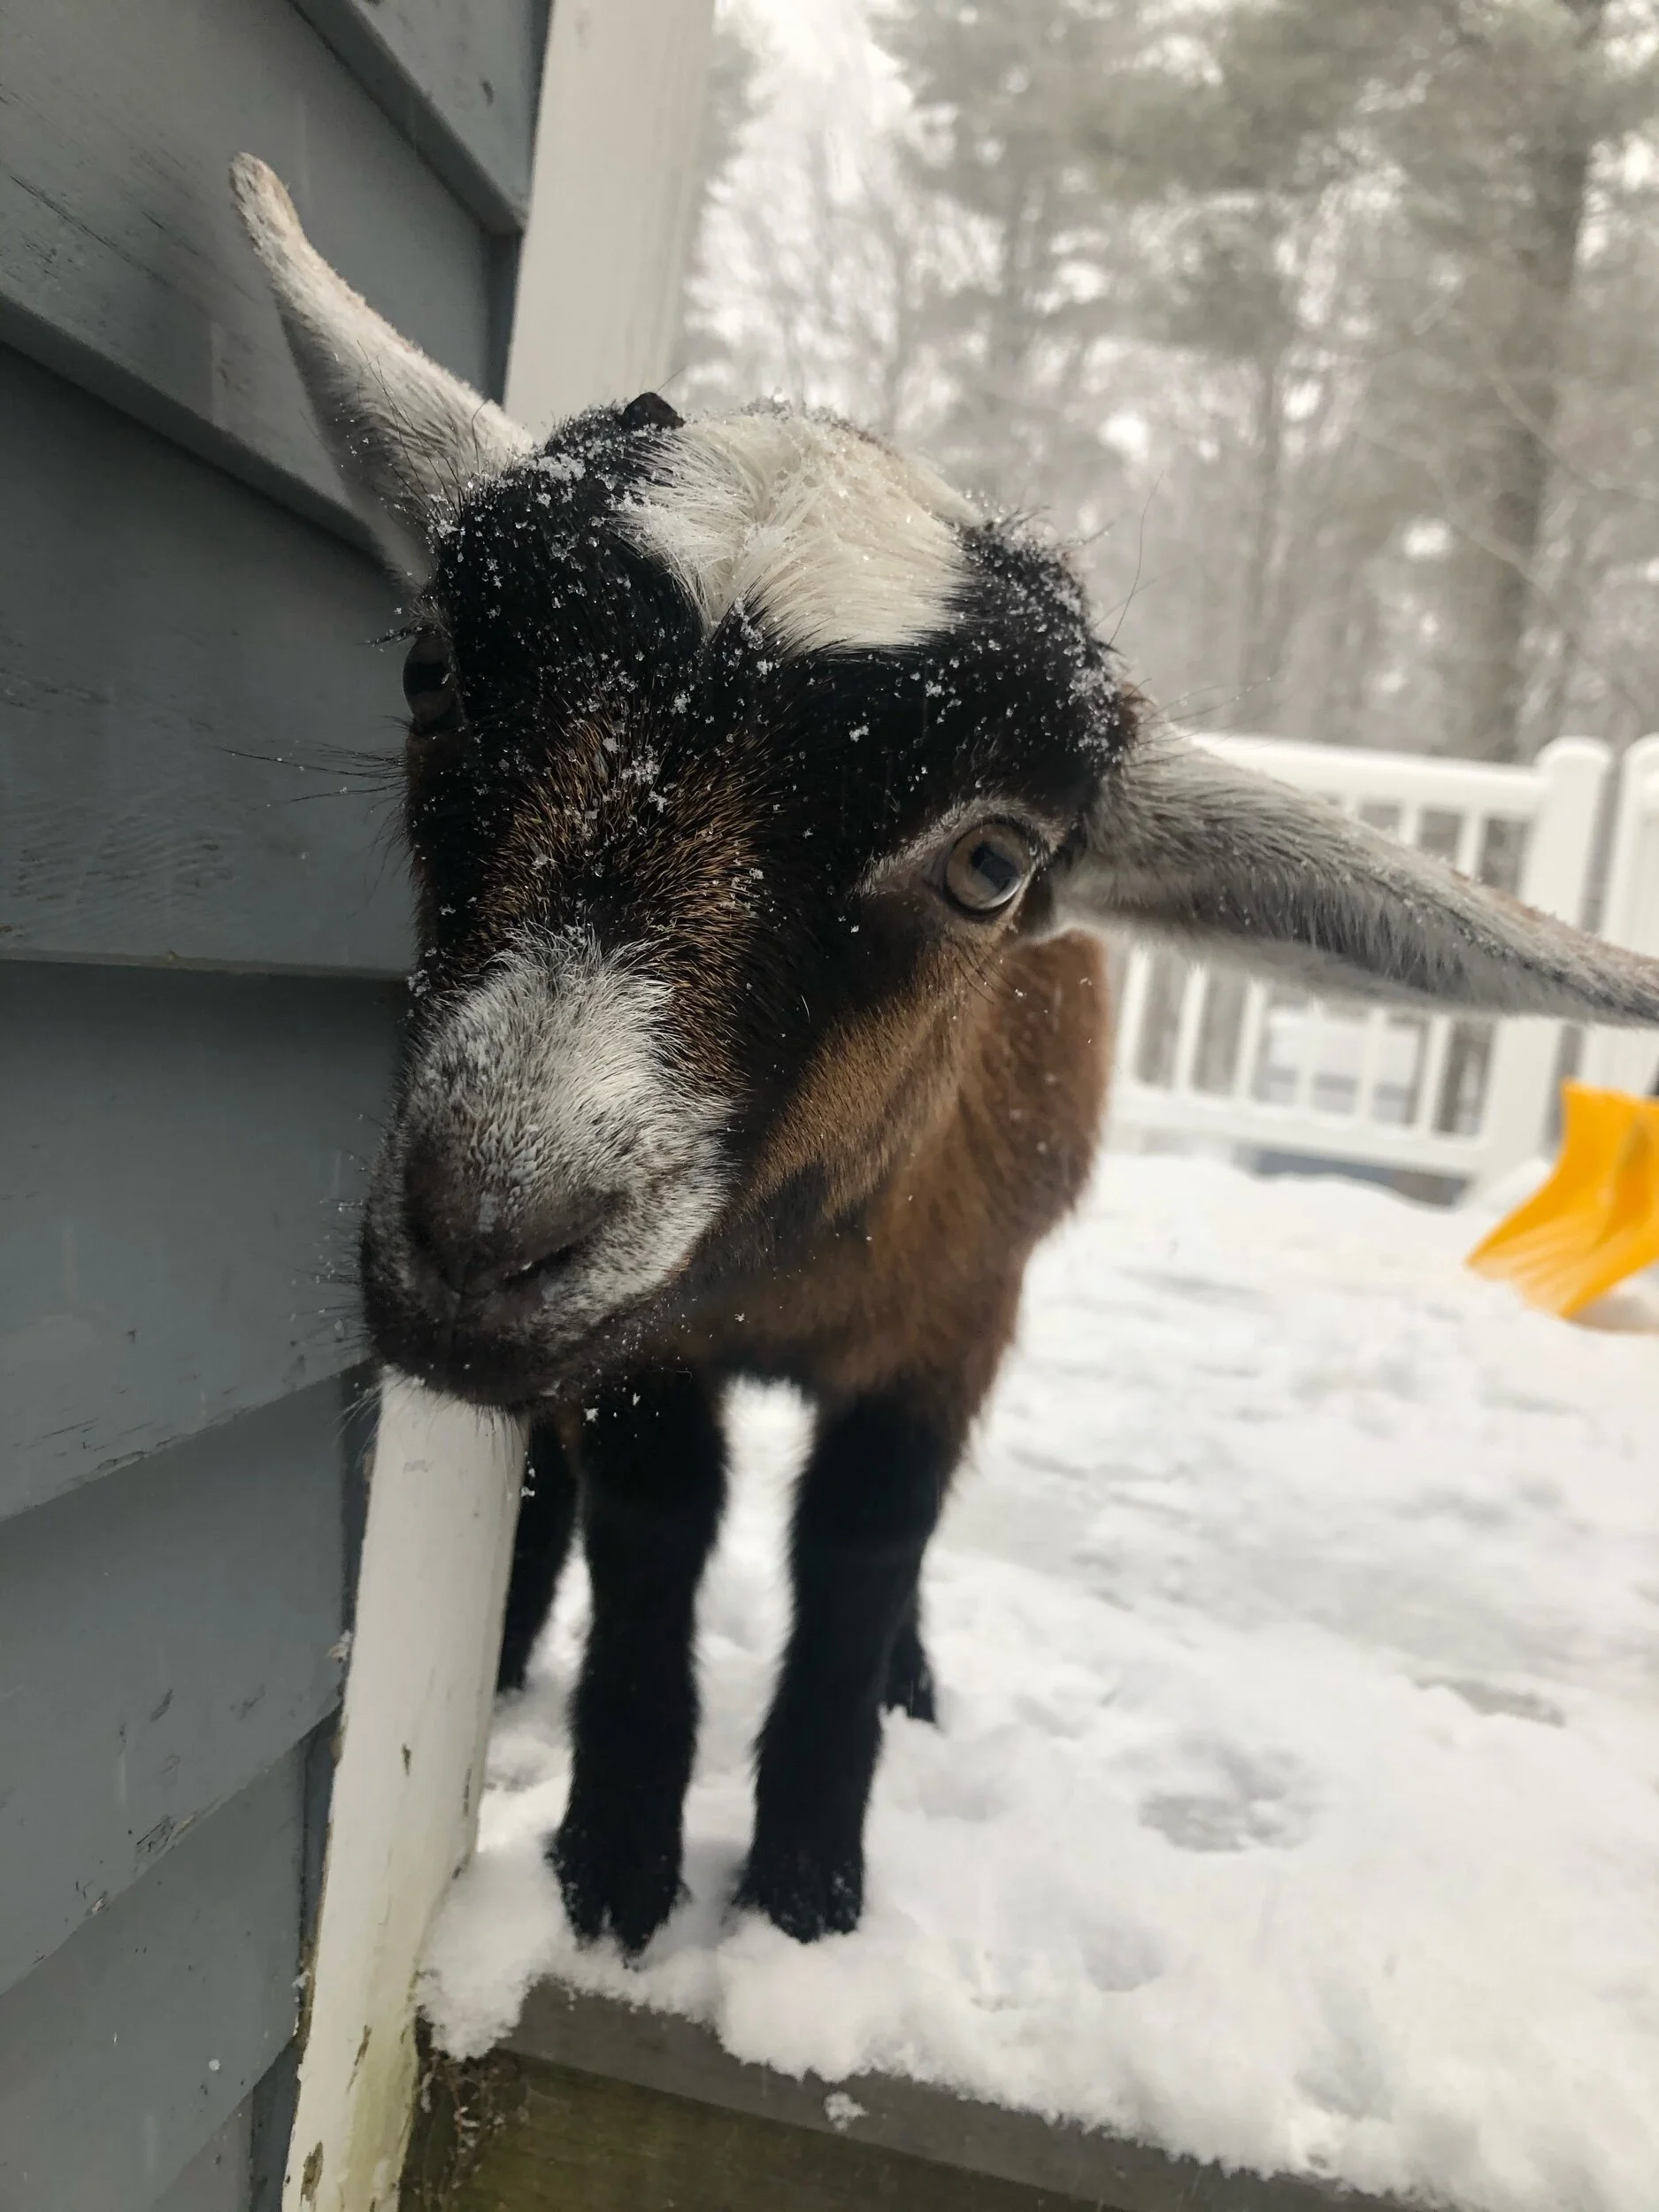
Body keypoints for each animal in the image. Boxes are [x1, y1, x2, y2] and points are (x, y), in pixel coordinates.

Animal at [234, 156, 1659, 1952]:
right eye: (432, 670)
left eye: (991, 862)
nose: (489, 1228)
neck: (796, 1270)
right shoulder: (646, 1338)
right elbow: (654, 1527)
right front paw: (616, 1862)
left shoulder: (957, 1314)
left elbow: (861, 1548)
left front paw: (803, 1887)